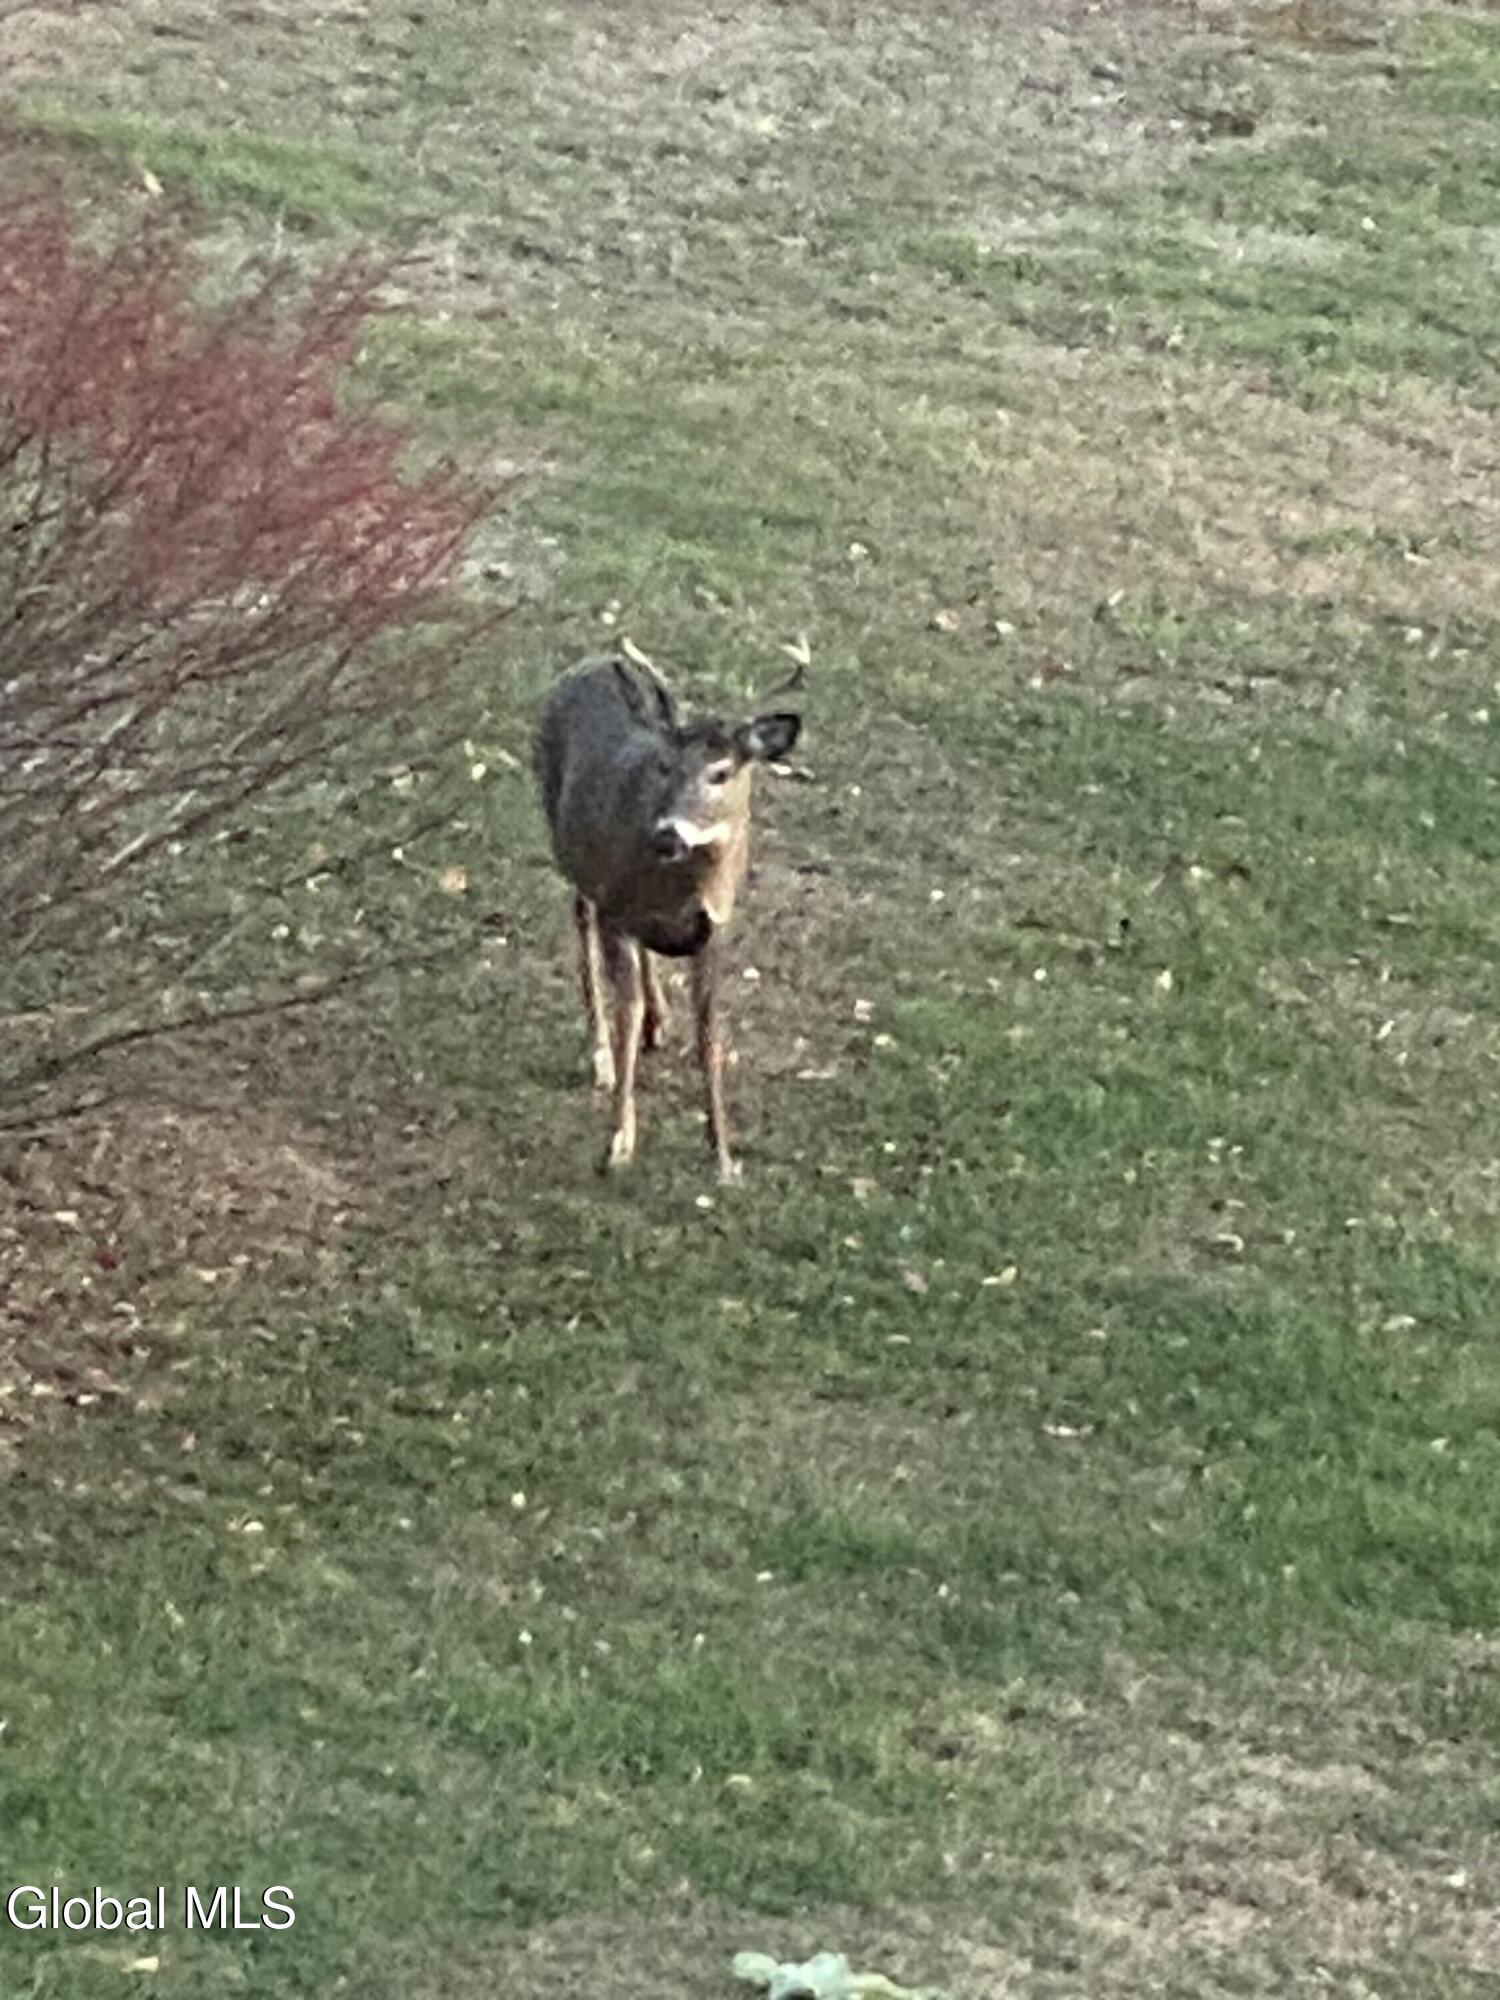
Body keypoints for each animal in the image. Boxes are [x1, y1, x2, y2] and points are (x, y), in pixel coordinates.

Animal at [534, 643, 804, 1183]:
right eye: (664, 766)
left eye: (720, 772)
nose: (666, 833)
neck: (683, 891)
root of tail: (590, 663)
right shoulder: (614, 904)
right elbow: (627, 1012)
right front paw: (618, 1143)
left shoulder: (715, 929)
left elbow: (709, 1032)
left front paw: (724, 1156)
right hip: (570, 845)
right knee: (582, 927)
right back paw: (601, 1056)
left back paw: (661, 1021)